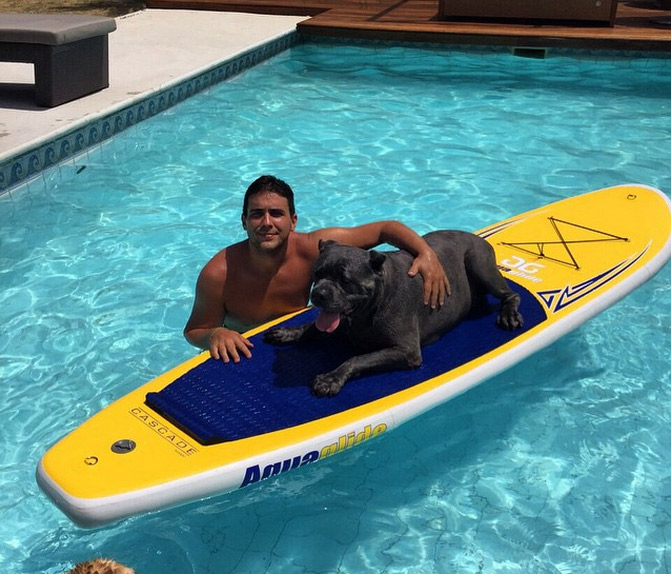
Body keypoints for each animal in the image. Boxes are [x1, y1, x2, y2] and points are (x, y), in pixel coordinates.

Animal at [264, 232, 524, 398]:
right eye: (317, 274)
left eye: (345, 280)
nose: (318, 294)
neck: (374, 302)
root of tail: (478, 238)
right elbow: (313, 327)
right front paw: (289, 332)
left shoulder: (406, 350)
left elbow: (355, 358)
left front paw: (330, 379)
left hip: (477, 262)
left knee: (511, 294)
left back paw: (509, 314)